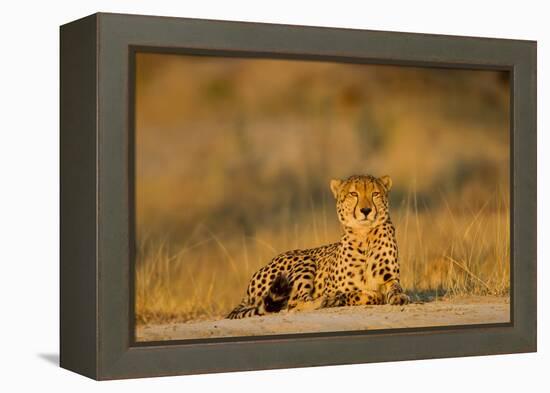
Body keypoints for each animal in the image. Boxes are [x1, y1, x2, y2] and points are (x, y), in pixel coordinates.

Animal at [226, 175, 412, 318]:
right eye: (353, 193)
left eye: (375, 194)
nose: (366, 210)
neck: (364, 235)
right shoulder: (336, 288)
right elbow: (356, 294)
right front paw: (338, 298)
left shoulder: (390, 278)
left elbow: (395, 289)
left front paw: (399, 297)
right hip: (304, 261)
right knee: (294, 303)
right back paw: (324, 301)